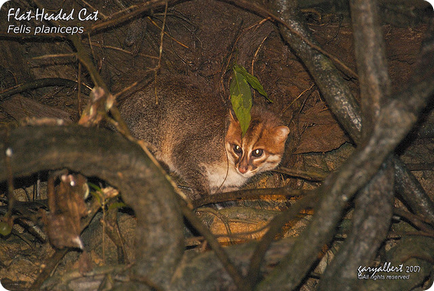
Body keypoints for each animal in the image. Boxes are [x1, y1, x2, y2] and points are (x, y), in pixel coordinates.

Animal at [118, 74, 288, 200]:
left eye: (257, 152)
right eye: (237, 148)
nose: (242, 168)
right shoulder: (186, 152)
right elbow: (191, 171)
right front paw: (201, 195)